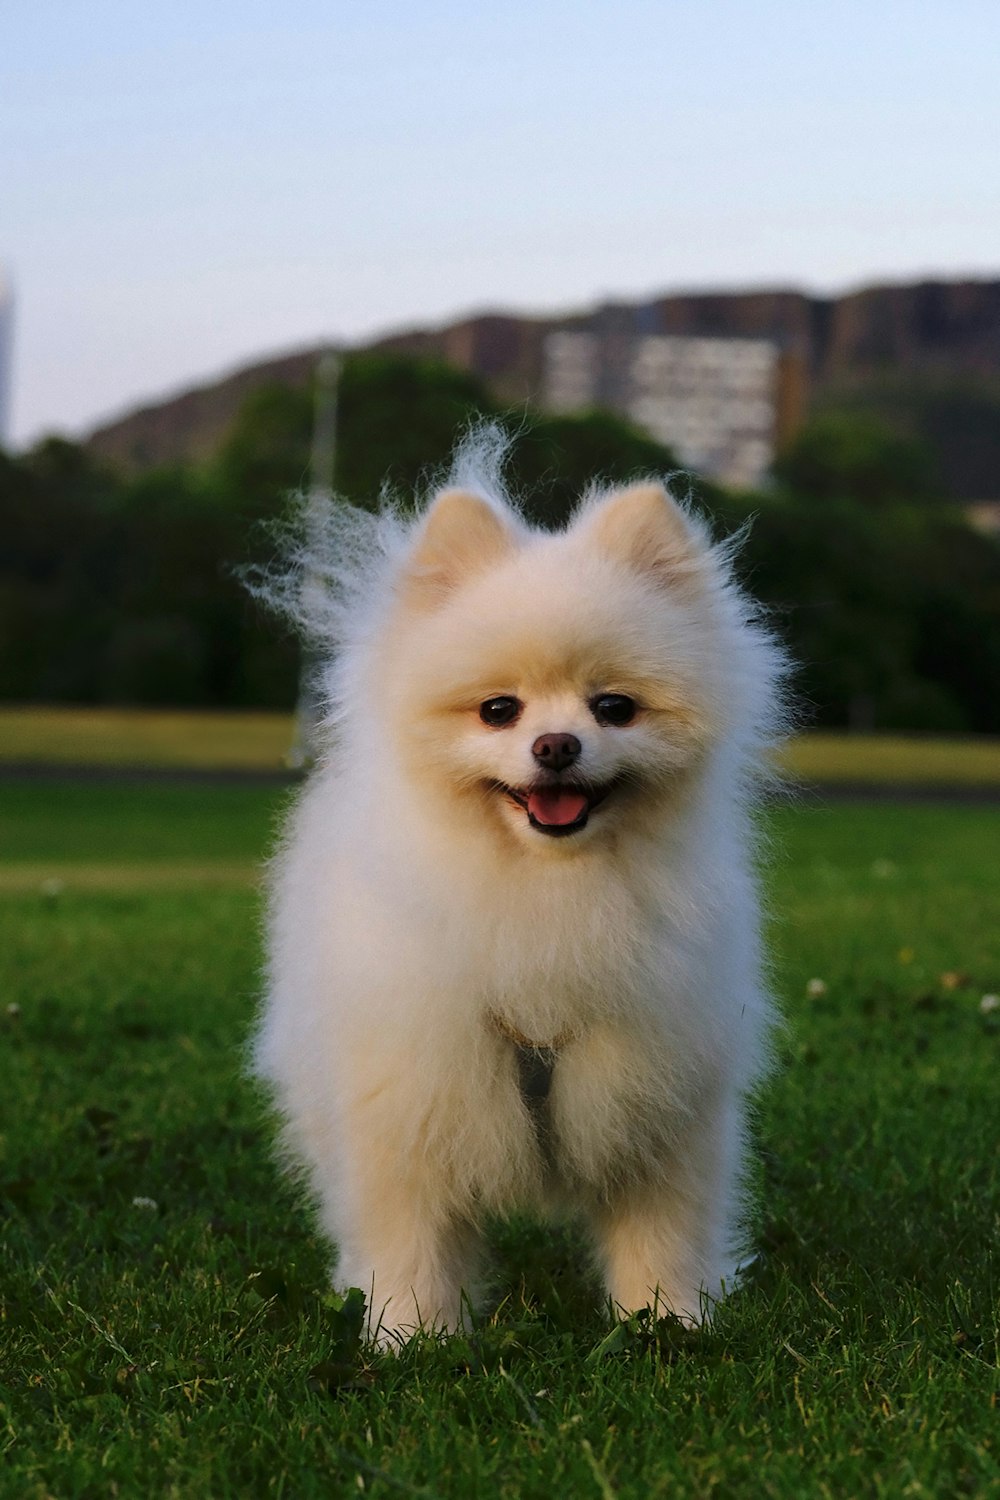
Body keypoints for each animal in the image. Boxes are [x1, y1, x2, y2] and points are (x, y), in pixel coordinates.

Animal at [257, 438, 791, 1344]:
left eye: (615, 707)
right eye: (498, 710)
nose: (556, 745)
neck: (547, 890)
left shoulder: (662, 1094)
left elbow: (664, 1228)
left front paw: (665, 1323)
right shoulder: (410, 1093)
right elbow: (411, 1235)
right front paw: (412, 1335)